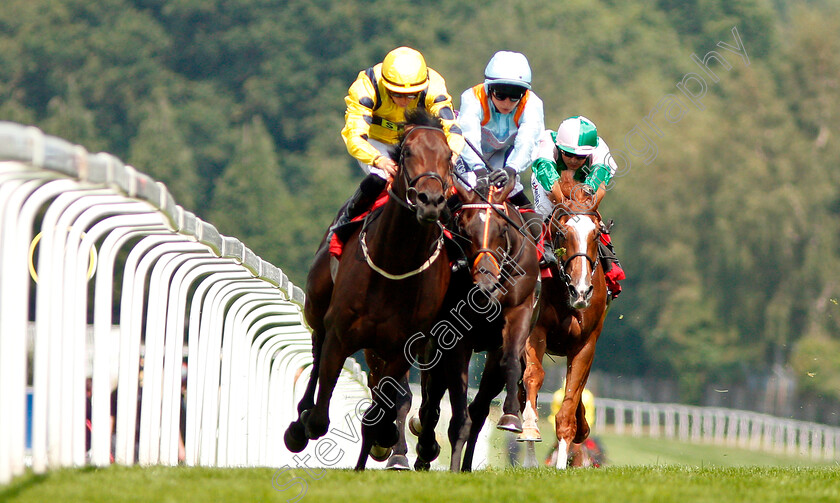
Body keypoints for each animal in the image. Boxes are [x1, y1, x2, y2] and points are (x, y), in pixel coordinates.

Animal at [282, 108, 452, 470]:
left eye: (448, 156)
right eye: (406, 153)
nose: (430, 201)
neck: (395, 264)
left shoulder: (403, 346)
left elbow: (384, 411)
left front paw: (386, 439)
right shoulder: (339, 333)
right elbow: (320, 415)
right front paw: (303, 425)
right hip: (318, 309)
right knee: (316, 356)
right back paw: (300, 420)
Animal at [412, 174, 540, 472]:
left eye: (502, 229)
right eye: (463, 229)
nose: (485, 282)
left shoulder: (518, 314)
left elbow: (510, 362)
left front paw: (511, 416)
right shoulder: (454, 337)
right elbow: (454, 408)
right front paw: (448, 461)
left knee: (478, 407)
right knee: (431, 398)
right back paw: (425, 449)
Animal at [520, 196, 608, 468]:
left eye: (596, 234)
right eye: (562, 233)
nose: (581, 291)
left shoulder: (585, 344)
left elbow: (571, 400)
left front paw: (562, 461)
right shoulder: (535, 331)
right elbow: (533, 376)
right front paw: (529, 428)